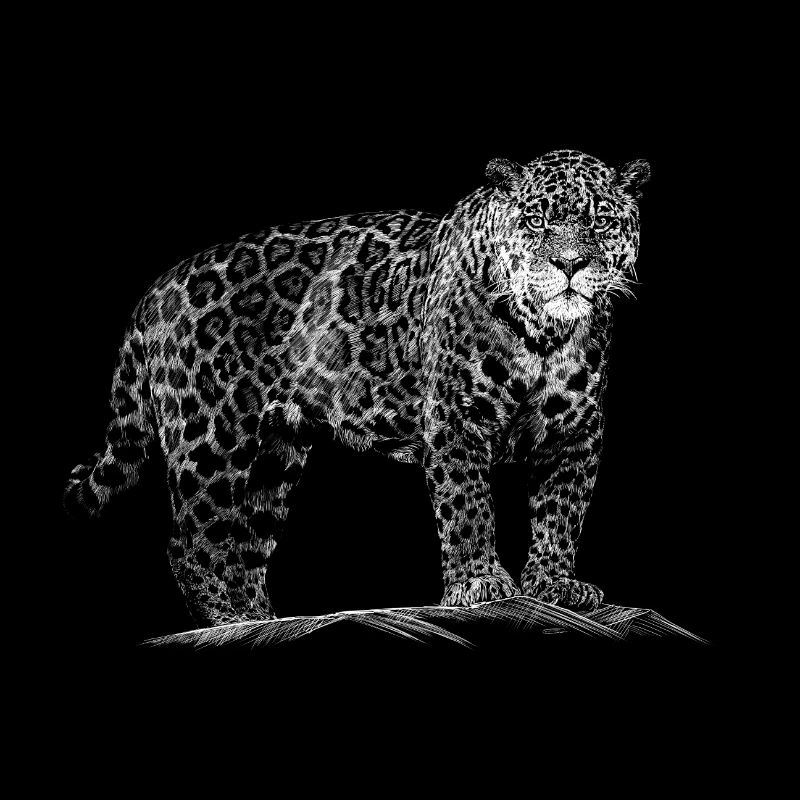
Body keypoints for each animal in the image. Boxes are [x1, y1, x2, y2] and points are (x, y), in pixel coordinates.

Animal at [65, 149, 650, 628]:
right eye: (535, 220)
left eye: (601, 222)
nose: (569, 264)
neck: (545, 335)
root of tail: (154, 290)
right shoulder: (455, 419)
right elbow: (467, 505)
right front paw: (480, 583)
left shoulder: (575, 432)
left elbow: (561, 511)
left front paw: (554, 585)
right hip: (211, 436)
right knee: (191, 540)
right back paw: (225, 621)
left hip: (275, 454)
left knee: (246, 545)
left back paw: (261, 619)